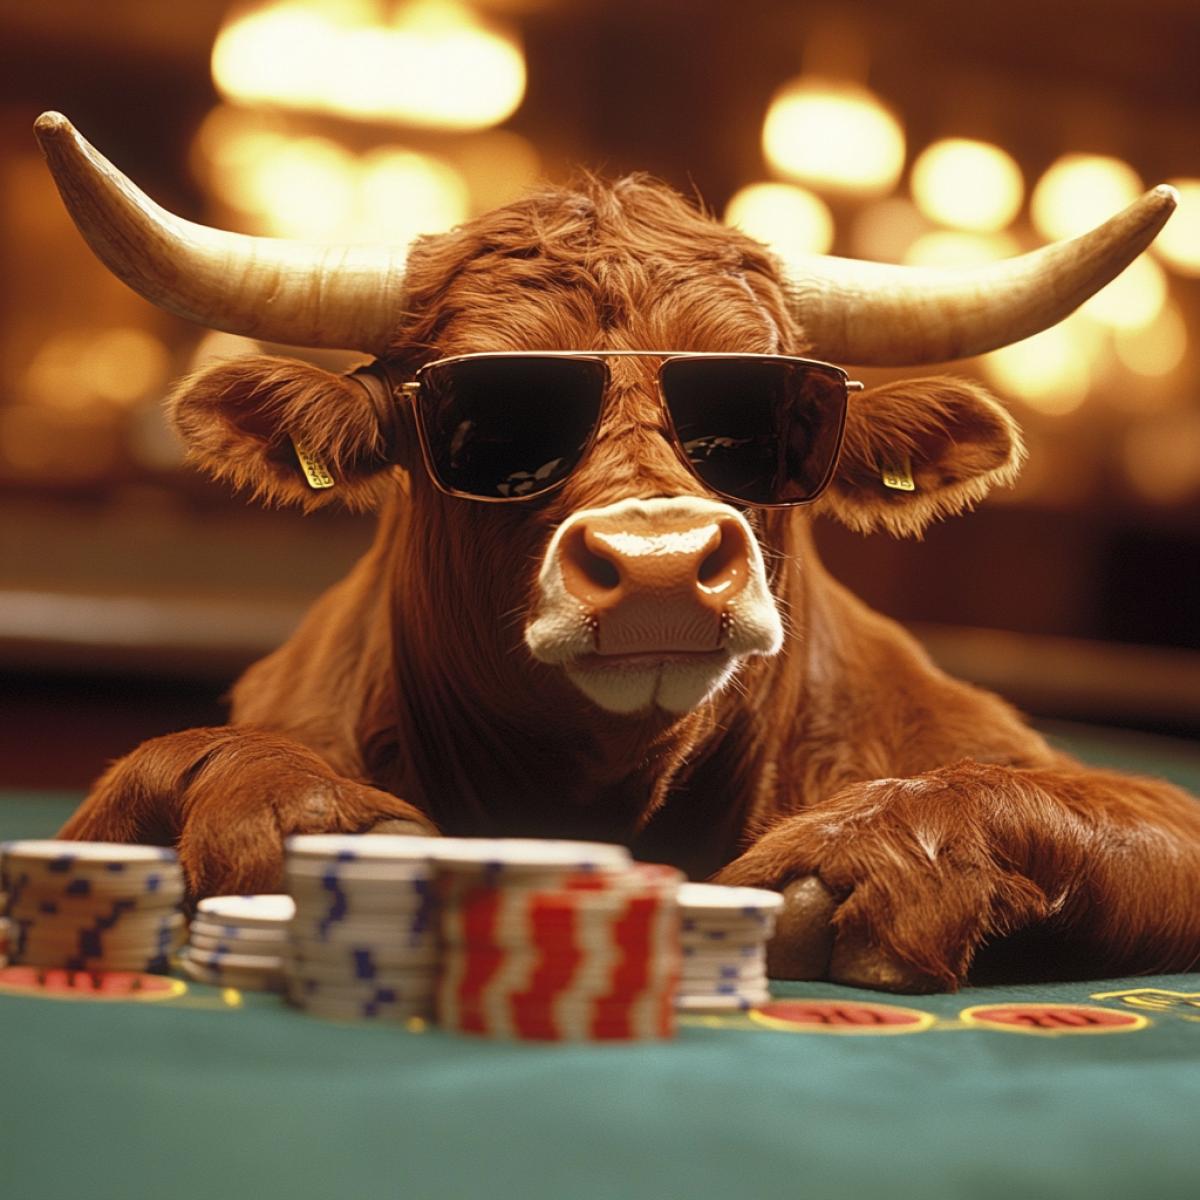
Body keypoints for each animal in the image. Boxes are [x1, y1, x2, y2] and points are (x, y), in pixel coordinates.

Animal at [36, 112, 1200, 992]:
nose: (660, 565)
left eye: (774, 411)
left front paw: (879, 857)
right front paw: (296, 817)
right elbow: (191, 760)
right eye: (486, 411)